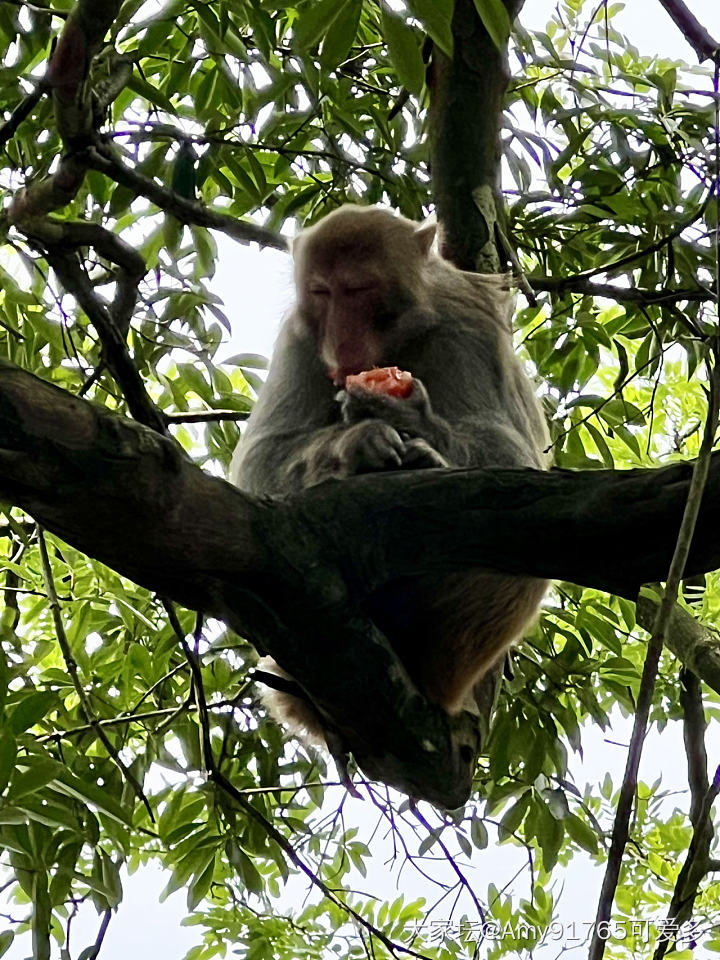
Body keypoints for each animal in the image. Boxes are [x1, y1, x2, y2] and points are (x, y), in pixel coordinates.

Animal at [228, 202, 548, 744]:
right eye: (323, 293)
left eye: (359, 289)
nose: (341, 343)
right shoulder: (301, 336)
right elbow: (260, 461)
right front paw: (359, 443)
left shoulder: (467, 324)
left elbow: (514, 458)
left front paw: (407, 418)